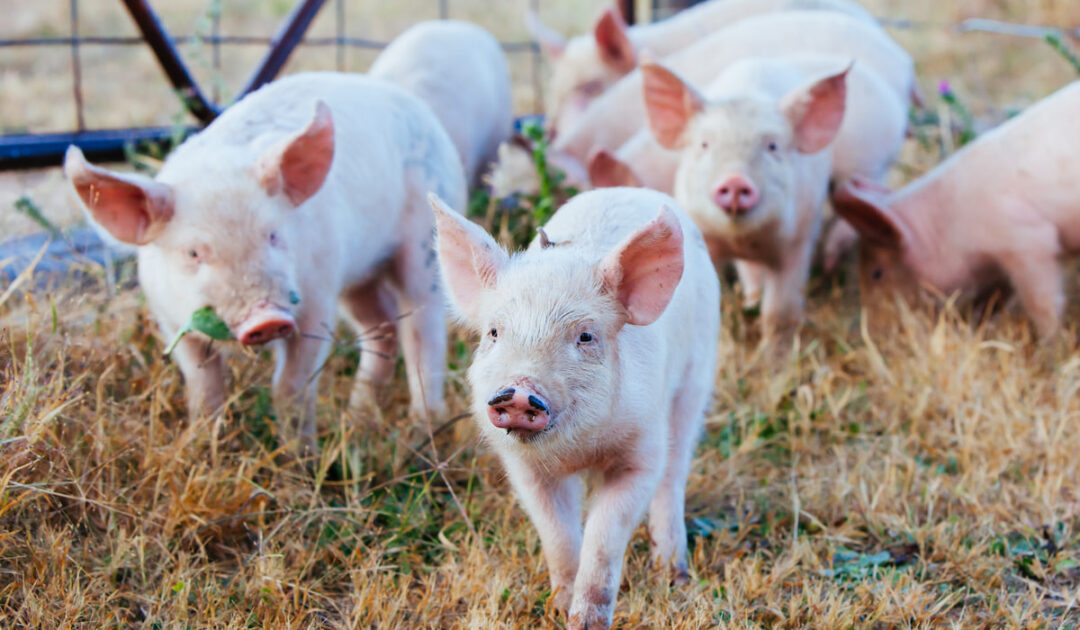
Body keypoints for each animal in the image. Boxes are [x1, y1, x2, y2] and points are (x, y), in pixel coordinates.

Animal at [64, 72, 467, 449]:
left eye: (273, 236)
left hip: (423, 246)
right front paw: (203, 444)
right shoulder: (172, 321)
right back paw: (359, 416)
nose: (267, 317)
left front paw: (300, 455)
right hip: (357, 276)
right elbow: (203, 386)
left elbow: (291, 385)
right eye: (194, 253)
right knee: (382, 325)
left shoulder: (316, 298)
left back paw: (422, 428)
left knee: (424, 330)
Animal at [430, 187, 719, 629]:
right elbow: (559, 536)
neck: (577, 450)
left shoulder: (640, 453)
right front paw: (559, 609)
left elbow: (603, 539)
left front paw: (586, 623)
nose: (519, 391)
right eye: (494, 332)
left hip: (695, 377)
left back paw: (675, 574)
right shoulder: (526, 470)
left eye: (585, 336)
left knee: (674, 472)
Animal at [640, 58, 849, 337]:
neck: (744, 240)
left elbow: (780, 313)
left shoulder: (798, 240)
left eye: (772, 146)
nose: (736, 181)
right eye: (705, 144)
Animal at [832, 81, 1080, 339]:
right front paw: (977, 325)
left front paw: (1049, 342)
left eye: (877, 273)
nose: (869, 334)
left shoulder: (1028, 239)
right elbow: (993, 298)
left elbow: (1041, 302)